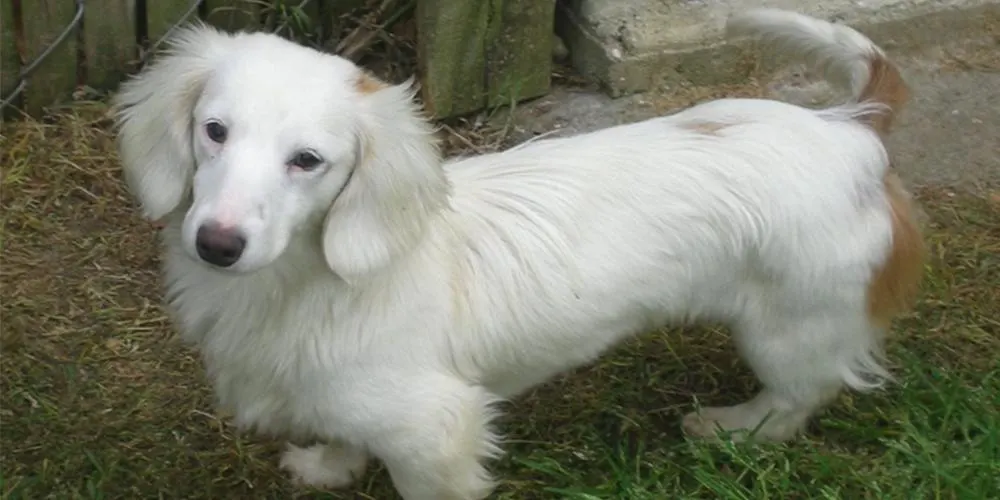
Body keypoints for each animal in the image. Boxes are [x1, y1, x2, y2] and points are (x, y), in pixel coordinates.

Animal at [113, 8, 924, 500]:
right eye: (215, 130)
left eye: (307, 160)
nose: (217, 244)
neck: (303, 287)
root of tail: (852, 128)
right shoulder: (348, 404)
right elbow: (343, 435)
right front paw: (326, 467)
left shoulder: (435, 433)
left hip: (788, 329)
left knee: (800, 396)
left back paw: (733, 429)